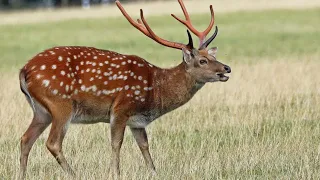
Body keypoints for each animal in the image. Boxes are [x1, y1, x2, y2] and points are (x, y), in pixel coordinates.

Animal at [18, 0, 231, 179]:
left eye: (213, 56)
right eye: (202, 61)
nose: (226, 68)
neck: (155, 89)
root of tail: (24, 70)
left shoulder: (138, 121)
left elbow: (144, 145)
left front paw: (154, 172)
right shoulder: (121, 108)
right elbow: (116, 143)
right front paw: (115, 173)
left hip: (41, 111)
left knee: (25, 139)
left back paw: (22, 175)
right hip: (60, 104)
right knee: (53, 142)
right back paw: (75, 174)